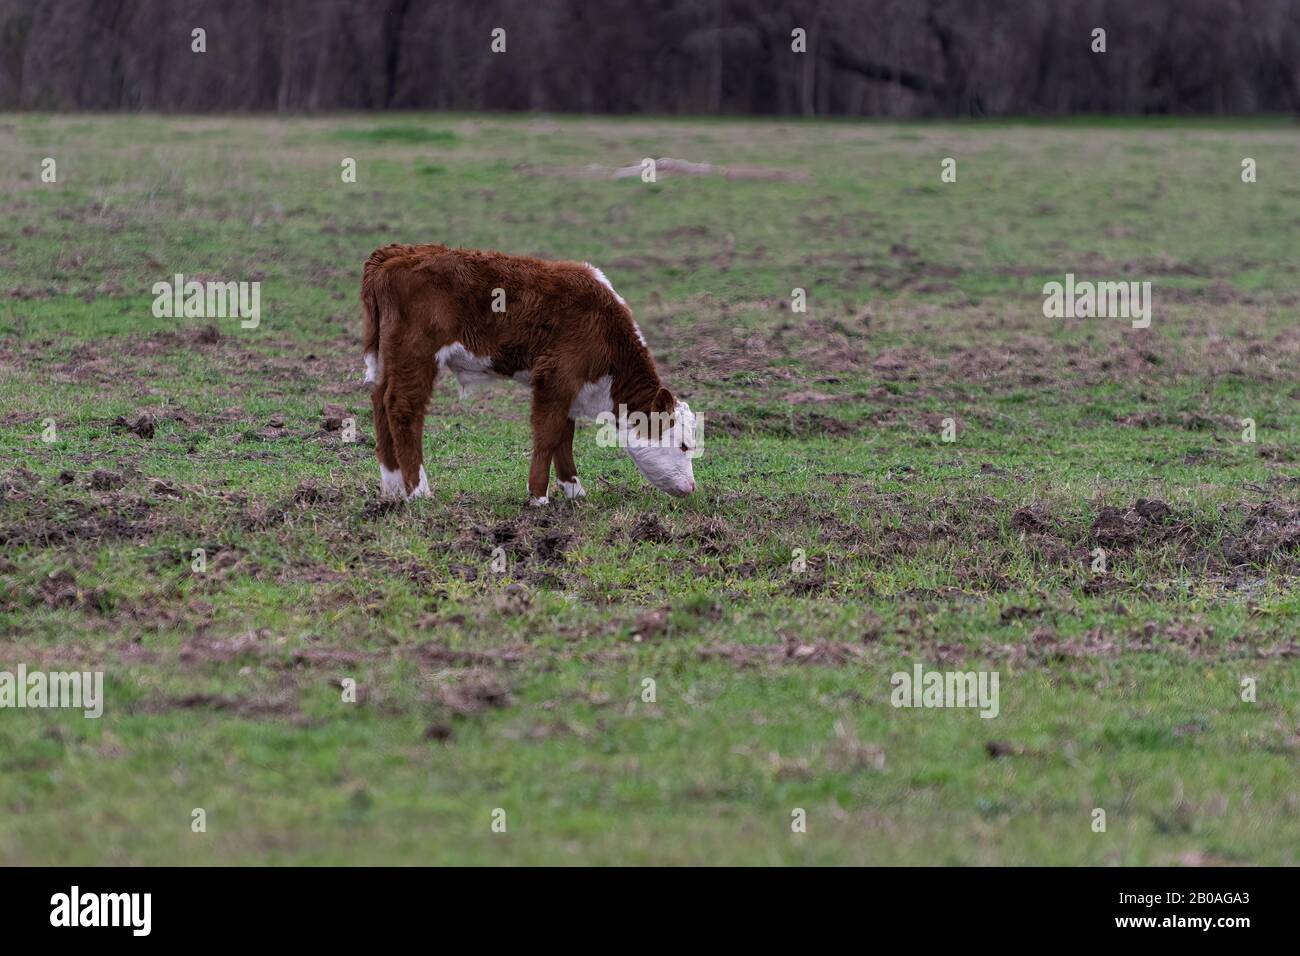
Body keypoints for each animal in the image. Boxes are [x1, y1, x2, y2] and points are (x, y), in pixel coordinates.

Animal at [361, 243, 696, 504]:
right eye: (683, 444)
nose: (692, 487)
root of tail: (395, 253)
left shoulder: (569, 385)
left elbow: (564, 435)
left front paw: (574, 491)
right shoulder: (557, 376)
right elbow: (548, 434)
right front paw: (538, 496)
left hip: (389, 357)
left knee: (379, 401)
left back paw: (392, 487)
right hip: (416, 353)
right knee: (402, 408)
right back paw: (419, 491)